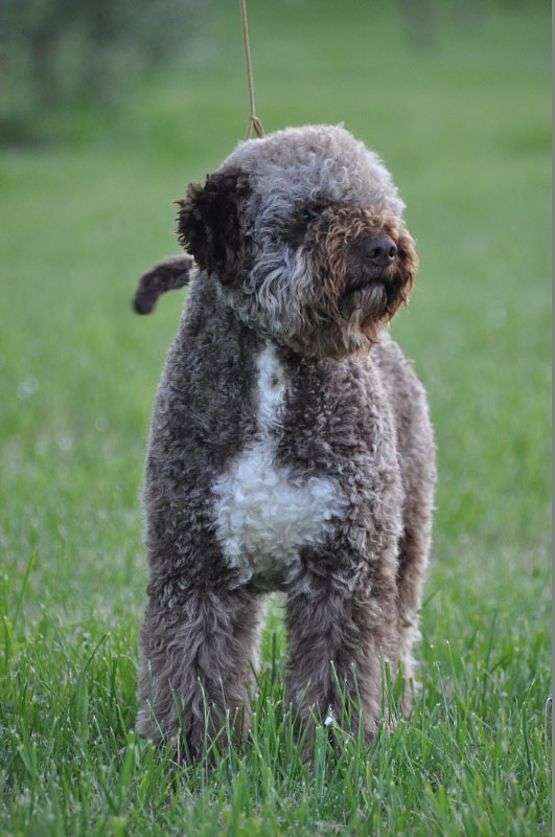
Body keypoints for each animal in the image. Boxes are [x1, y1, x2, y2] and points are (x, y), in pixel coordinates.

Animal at [134, 124, 434, 756]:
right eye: (311, 208)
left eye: (382, 204)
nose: (385, 248)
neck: (274, 376)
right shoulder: (196, 568)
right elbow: (193, 669)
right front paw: (192, 753)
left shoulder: (344, 571)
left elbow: (338, 671)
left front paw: (334, 749)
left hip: (406, 545)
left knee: (397, 640)